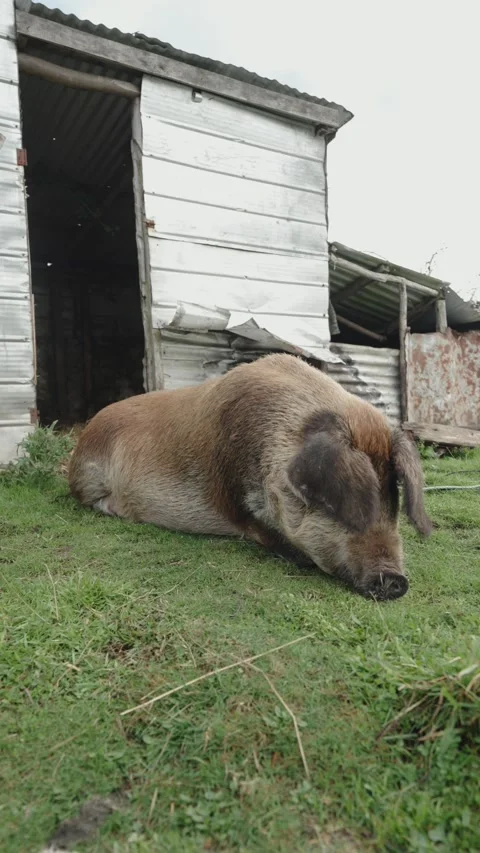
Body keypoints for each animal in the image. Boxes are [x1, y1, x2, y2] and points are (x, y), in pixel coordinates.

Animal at [68, 353, 432, 600]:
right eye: (340, 504)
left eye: (392, 498)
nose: (396, 581)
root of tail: (85, 433)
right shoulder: (234, 501)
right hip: (87, 478)